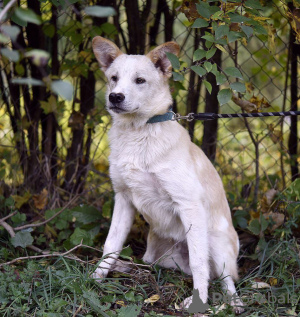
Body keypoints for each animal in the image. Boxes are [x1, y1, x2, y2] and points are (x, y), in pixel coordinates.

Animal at [92, 35, 244, 312]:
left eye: (140, 80)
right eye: (113, 77)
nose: (115, 97)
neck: (139, 132)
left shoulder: (189, 204)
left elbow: (198, 262)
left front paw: (198, 301)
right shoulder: (123, 198)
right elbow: (111, 244)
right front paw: (95, 278)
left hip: (216, 242)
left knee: (225, 278)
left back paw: (233, 303)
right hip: (155, 255)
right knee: (152, 264)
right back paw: (127, 268)